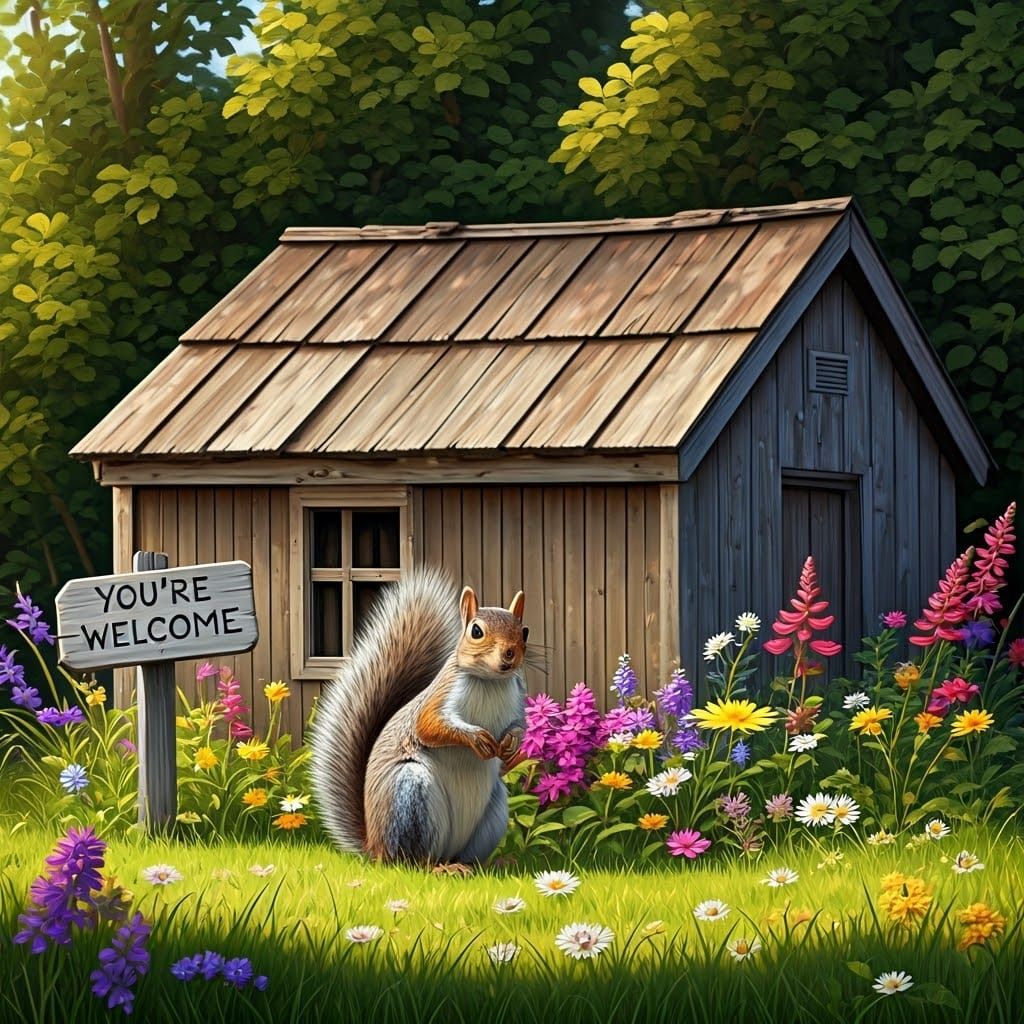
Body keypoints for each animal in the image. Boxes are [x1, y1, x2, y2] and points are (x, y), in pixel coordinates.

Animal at [309, 567, 528, 871]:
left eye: (525, 632)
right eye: (476, 631)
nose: (510, 653)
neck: (490, 681)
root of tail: (375, 847)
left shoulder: (518, 699)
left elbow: (520, 726)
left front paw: (510, 744)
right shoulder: (439, 698)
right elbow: (429, 726)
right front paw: (477, 738)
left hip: (492, 811)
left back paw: (483, 865)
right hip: (411, 796)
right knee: (410, 861)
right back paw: (437, 868)